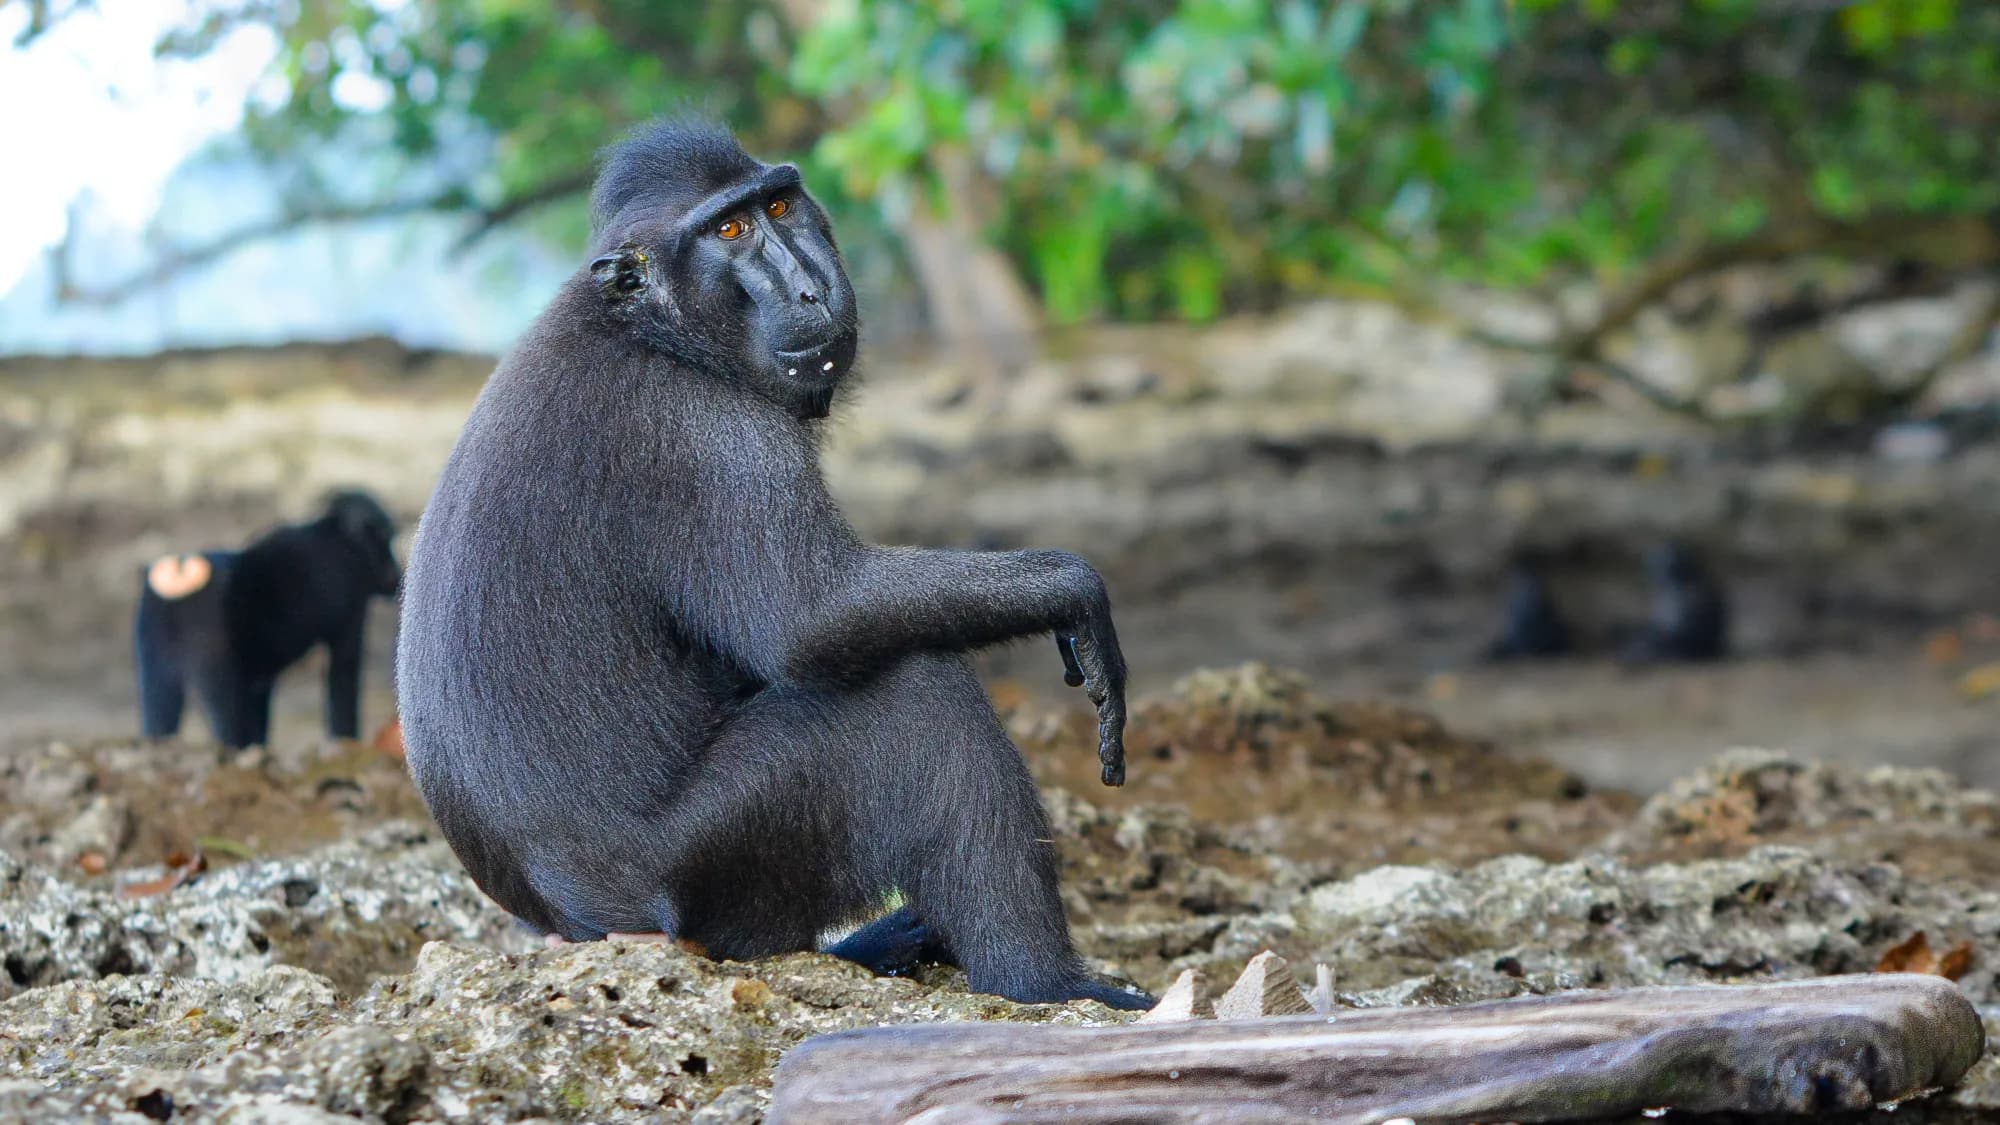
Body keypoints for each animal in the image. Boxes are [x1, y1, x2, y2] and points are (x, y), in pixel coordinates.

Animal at [135, 490, 402, 748]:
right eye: (385, 537)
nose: (396, 577)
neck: (336, 538)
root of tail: (180, 574)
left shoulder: (259, 681)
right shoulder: (351, 618)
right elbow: (343, 686)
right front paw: (346, 741)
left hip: (156, 673)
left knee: (158, 722)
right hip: (217, 676)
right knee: (228, 728)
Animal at [395, 118, 1147, 1010]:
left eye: (780, 206)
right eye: (728, 230)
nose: (811, 289)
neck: (654, 332)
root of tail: (583, 925)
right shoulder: (705, 433)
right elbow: (814, 617)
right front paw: (1074, 589)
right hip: (715, 867)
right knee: (914, 694)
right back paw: (1042, 983)